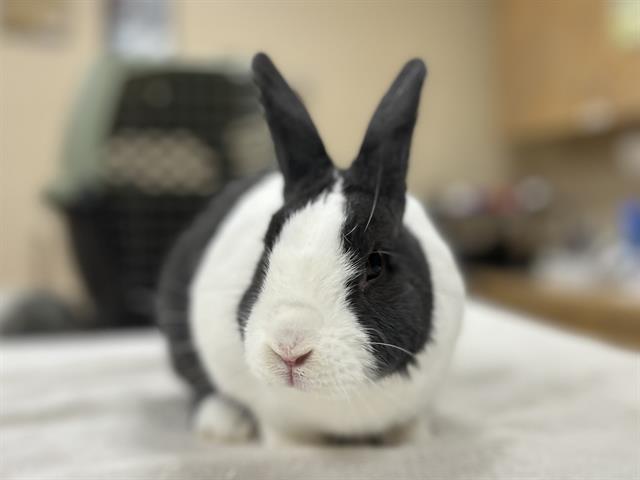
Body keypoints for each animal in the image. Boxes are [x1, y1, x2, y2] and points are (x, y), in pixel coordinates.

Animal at [156, 52, 465, 445]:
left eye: (376, 264)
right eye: (266, 247)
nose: (289, 349)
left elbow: (412, 432)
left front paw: (415, 441)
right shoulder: (282, 423)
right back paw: (222, 425)